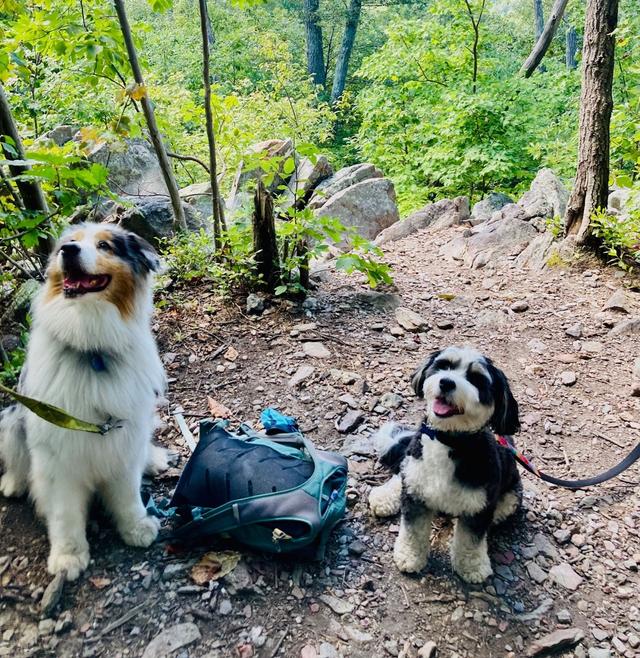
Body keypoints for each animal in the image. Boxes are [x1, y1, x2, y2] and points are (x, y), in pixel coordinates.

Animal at [0, 223, 168, 576]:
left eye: (104, 245)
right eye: (69, 242)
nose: (69, 252)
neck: (92, 348)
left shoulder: (123, 437)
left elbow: (127, 494)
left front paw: (136, 527)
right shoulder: (58, 456)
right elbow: (65, 512)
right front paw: (68, 556)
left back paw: (153, 459)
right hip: (11, 418)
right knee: (16, 457)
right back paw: (13, 481)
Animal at [368, 346, 524, 580]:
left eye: (477, 379)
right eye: (444, 365)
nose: (446, 382)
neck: (448, 439)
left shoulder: (480, 505)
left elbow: (470, 539)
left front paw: (472, 566)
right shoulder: (416, 491)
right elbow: (413, 531)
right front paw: (410, 556)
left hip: (512, 494)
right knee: (402, 473)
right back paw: (385, 496)